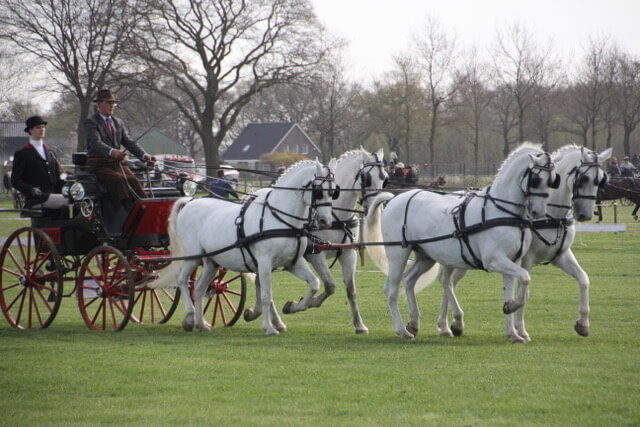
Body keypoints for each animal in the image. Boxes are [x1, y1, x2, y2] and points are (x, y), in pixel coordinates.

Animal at [162, 159, 338, 336]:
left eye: (333, 192)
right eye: (319, 192)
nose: (325, 221)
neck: (280, 219)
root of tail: (190, 202)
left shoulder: (293, 263)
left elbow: (314, 283)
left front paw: (294, 306)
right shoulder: (264, 263)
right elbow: (266, 295)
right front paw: (269, 327)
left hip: (211, 261)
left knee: (198, 287)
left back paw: (201, 323)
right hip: (193, 257)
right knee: (182, 279)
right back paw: (189, 318)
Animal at [368, 144, 556, 342]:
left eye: (553, 180)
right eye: (536, 179)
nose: (538, 212)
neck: (502, 211)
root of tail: (395, 198)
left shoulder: (513, 261)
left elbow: (513, 289)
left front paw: (512, 329)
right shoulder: (494, 260)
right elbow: (525, 278)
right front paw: (512, 308)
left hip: (425, 256)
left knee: (410, 280)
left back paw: (413, 323)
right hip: (398, 254)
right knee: (391, 289)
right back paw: (401, 330)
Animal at [438, 145, 612, 342]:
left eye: (601, 180)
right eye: (584, 178)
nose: (586, 215)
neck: (550, 215)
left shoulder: (561, 256)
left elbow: (583, 279)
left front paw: (583, 324)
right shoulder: (526, 259)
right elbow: (525, 292)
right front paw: (520, 329)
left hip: (462, 260)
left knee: (449, 283)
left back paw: (449, 325)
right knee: (447, 282)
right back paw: (448, 324)